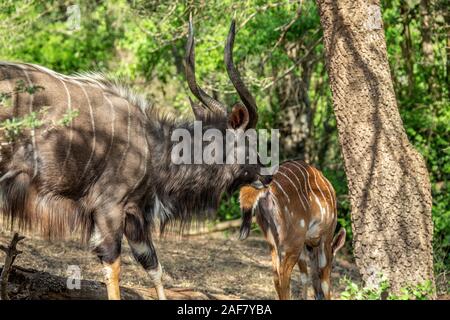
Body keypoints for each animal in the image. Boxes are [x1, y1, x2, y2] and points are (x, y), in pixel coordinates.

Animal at [0, 19, 270, 300]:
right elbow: (114, 267)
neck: (154, 147)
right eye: (250, 141)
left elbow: (153, 266)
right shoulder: (109, 207)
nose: (268, 176)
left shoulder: (134, 213)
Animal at [241, 160, 346, 300]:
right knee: (284, 275)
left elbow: (306, 275)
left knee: (276, 275)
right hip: (295, 237)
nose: (318, 296)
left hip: (272, 237)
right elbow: (325, 279)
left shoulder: (306, 244)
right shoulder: (325, 237)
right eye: (334, 265)